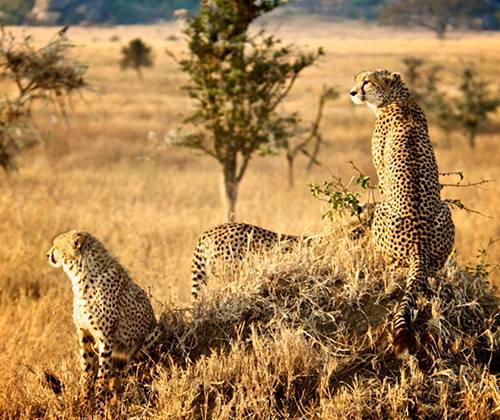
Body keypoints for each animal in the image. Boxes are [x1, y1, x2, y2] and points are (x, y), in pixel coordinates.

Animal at [46, 231, 161, 406]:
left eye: (56, 245)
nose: (47, 255)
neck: (80, 274)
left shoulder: (105, 338)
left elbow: (102, 374)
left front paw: (99, 402)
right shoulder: (85, 333)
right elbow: (86, 371)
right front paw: (85, 401)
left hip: (150, 338)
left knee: (138, 370)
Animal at [350, 68, 456, 354]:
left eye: (366, 81)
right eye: (357, 79)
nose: (352, 92)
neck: (397, 98)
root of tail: (419, 245)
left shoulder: (381, 171)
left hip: (383, 213)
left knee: (392, 265)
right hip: (445, 211)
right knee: (432, 273)